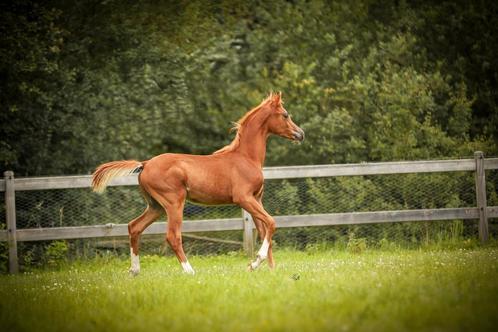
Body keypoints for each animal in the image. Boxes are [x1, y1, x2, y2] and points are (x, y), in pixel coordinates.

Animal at [91, 92, 306, 274]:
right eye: (285, 115)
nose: (300, 134)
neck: (246, 157)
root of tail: (145, 164)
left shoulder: (256, 198)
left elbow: (263, 229)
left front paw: (269, 269)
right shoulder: (244, 198)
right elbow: (271, 222)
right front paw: (255, 263)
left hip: (156, 206)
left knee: (134, 227)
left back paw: (135, 271)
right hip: (174, 203)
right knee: (173, 236)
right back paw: (189, 271)